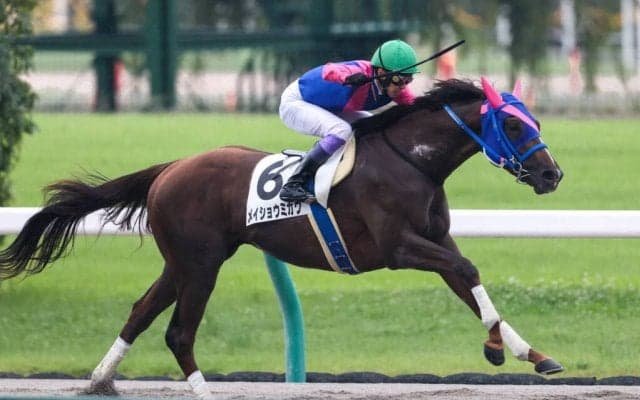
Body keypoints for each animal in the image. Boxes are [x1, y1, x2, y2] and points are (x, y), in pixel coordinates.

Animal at [0, 78, 564, 398]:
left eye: (534, 120)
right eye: (514, 126)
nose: (552, 175)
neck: (413, 160)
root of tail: (170, 168)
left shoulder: (437, 242)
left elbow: (469, 285)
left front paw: (529, 354)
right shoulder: (398, 249)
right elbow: (468, 273)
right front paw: (497, 349)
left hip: (181, 262)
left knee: (141, 312)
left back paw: (99, 380)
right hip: (201, 264)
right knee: (179, 332)